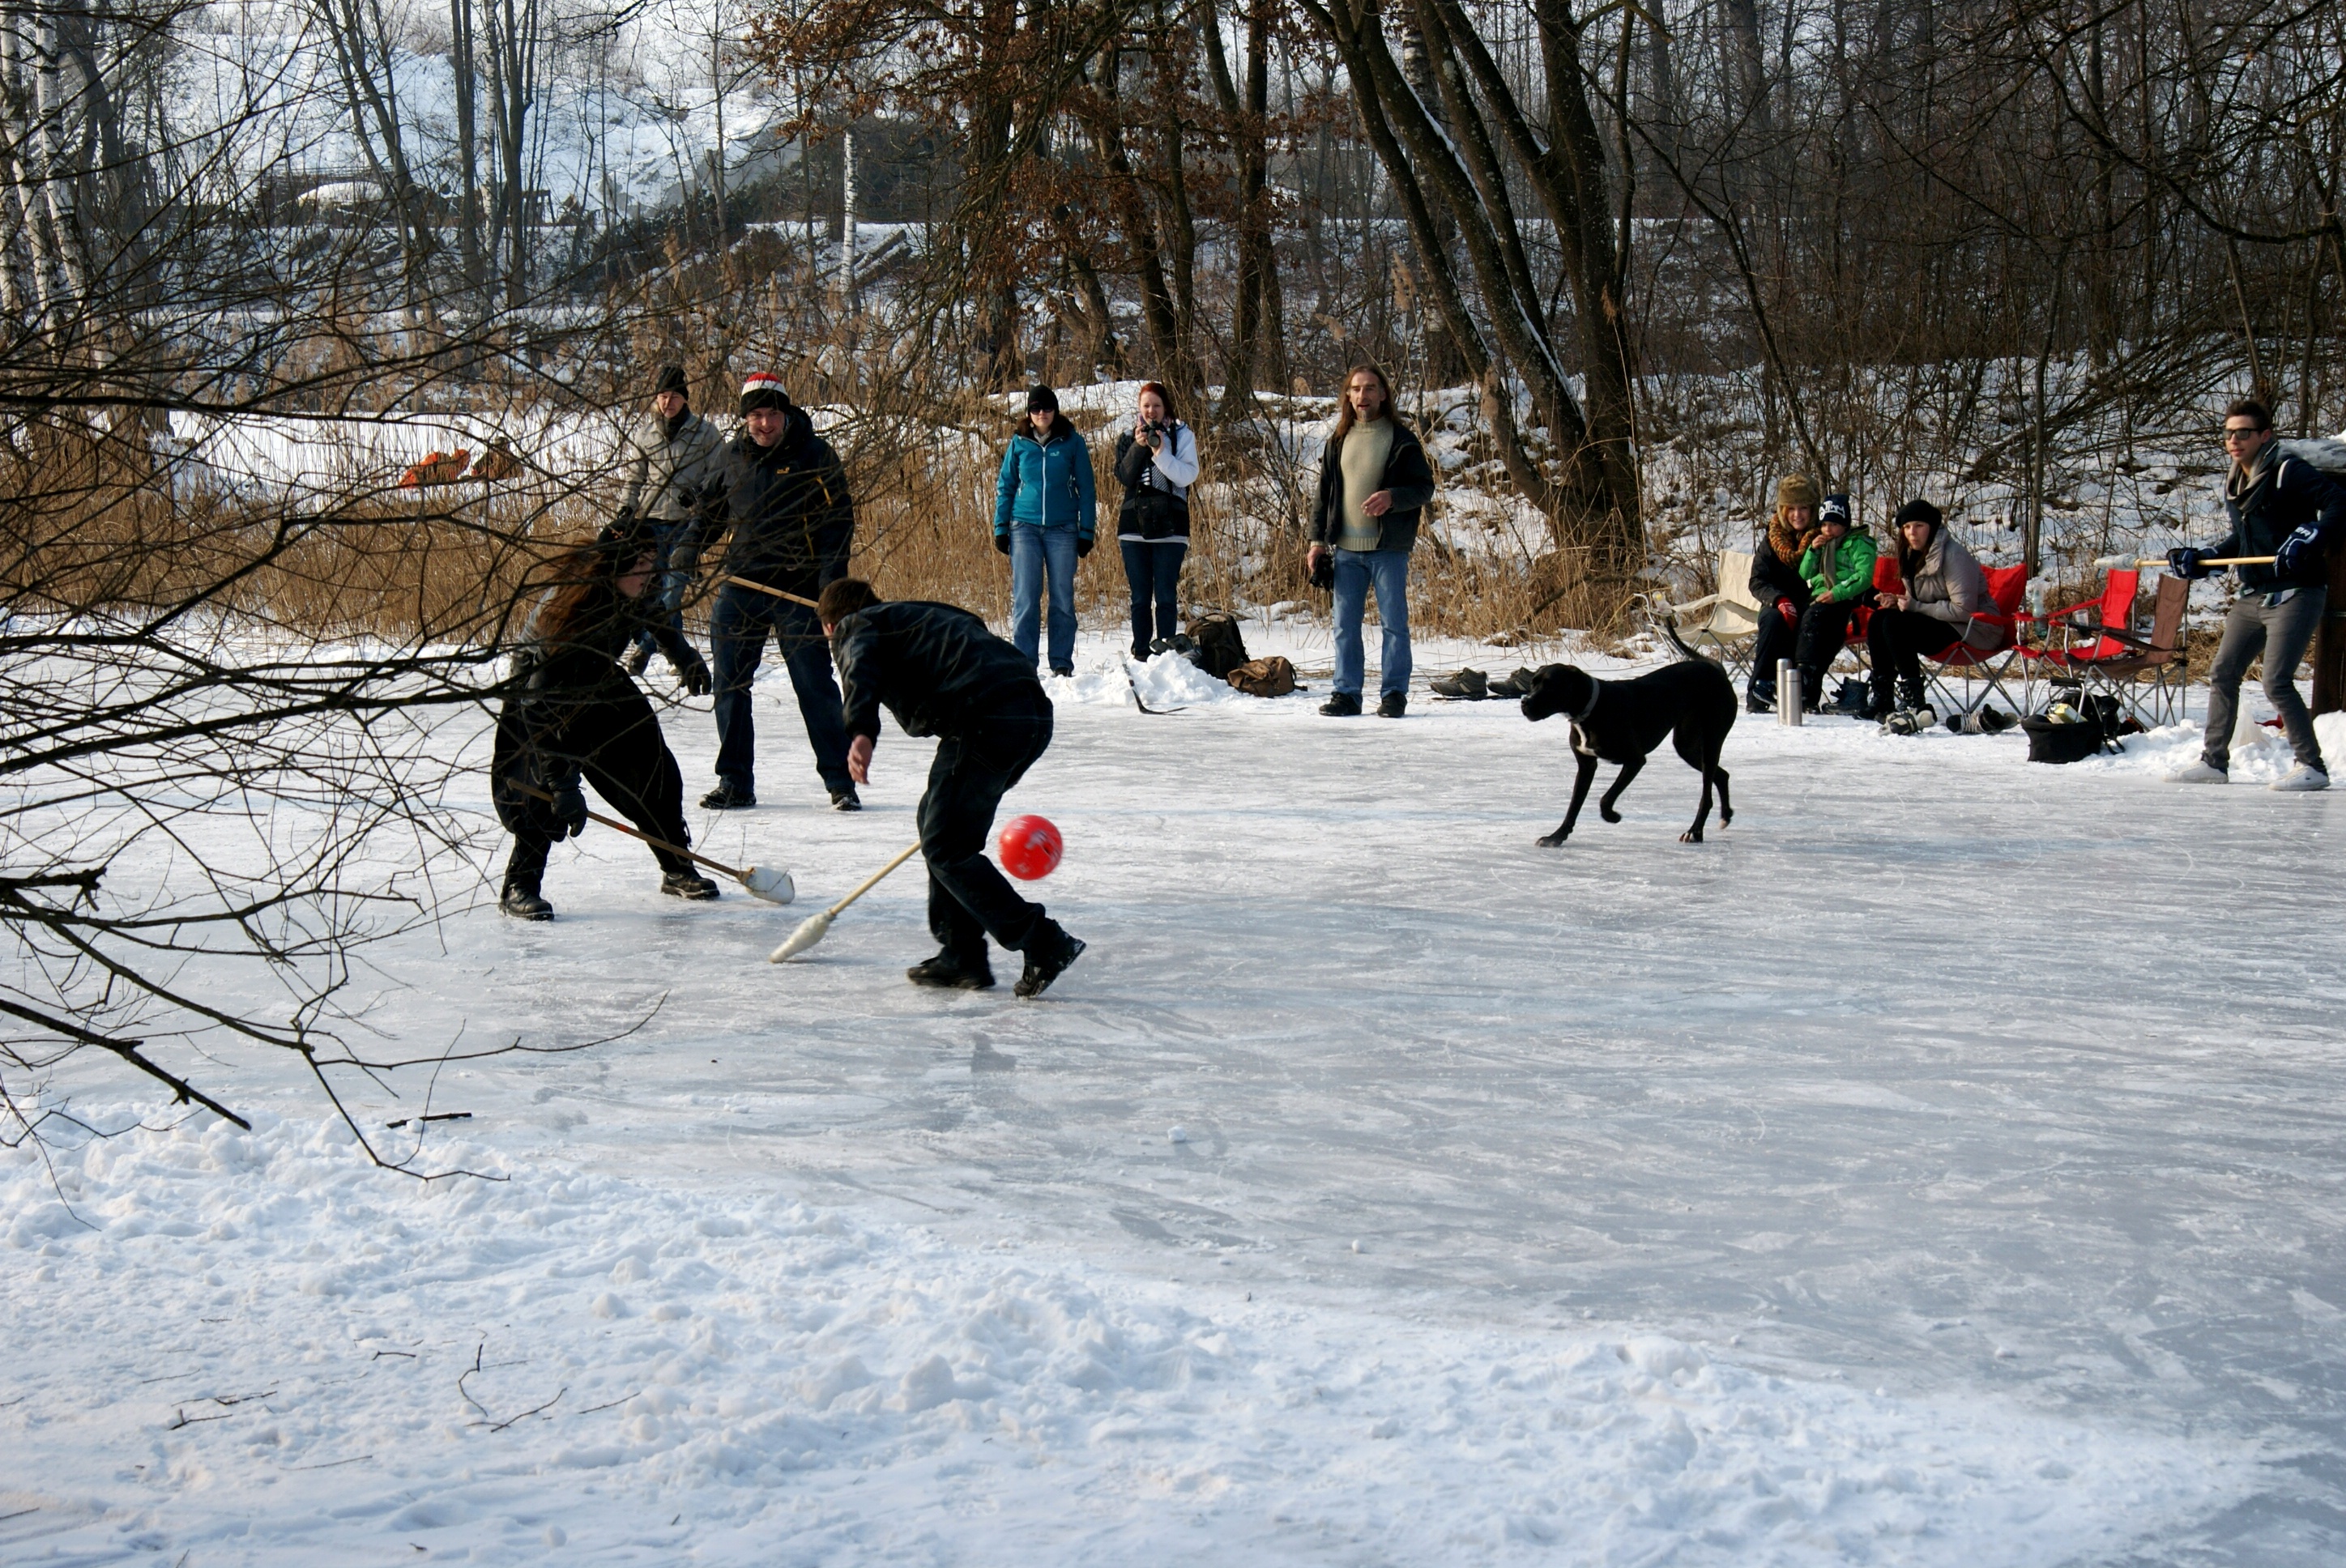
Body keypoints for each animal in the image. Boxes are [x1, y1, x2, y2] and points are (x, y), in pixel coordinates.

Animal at [1519, 662, 1736, 844]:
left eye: (1550, 686)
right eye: (1533, 683)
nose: (1525, 702)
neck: (1593, 708)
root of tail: (1717, 671)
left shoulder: (1635, 760)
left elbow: (1606, 798)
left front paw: (1612, 816)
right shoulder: (1587, 765)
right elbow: (1573, 806)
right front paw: (1556, 836)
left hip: (1711, 741)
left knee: (1706, 795)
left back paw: (1695, 832)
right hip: (1687, 747)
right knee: (1722, 775)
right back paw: (1725, 816)